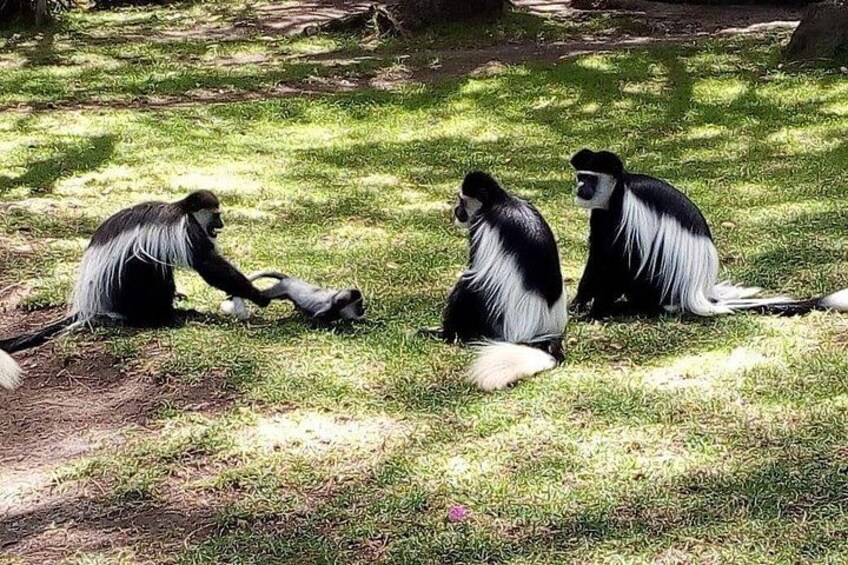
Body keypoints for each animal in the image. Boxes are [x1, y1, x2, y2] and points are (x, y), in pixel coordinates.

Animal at [0, 190, 270, 389]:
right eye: (216, 215)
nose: (221, 224)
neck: (183, 211)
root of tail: (91, 303)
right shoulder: (187, 231)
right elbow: (207, 265)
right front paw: (258, 295)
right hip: (125, 285)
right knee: (146, 266)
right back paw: (164, 316)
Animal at [220, 271, 365, 326]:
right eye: (359, 304)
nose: (363, 309)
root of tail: (289, 280)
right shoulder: (329, 309)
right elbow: (316, 319)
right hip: (281, 289)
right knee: (265, 295)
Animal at [433, 171, 567, 392]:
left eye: (461, 201)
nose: (456, 211)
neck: (498, 200)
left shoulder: (481, 226)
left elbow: (474, 272)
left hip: (498, 319)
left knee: (469, 287)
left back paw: (447, 334)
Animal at [569, 148, 848, 318]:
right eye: (580, 176)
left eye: (590, 178)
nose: (580, 188)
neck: (619, 188)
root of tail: (696, 292)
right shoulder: (602, 215)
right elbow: (598, 254)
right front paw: (578, 303)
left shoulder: (626, 213)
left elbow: (620, 259)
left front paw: (595, 311)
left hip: (659, 282)